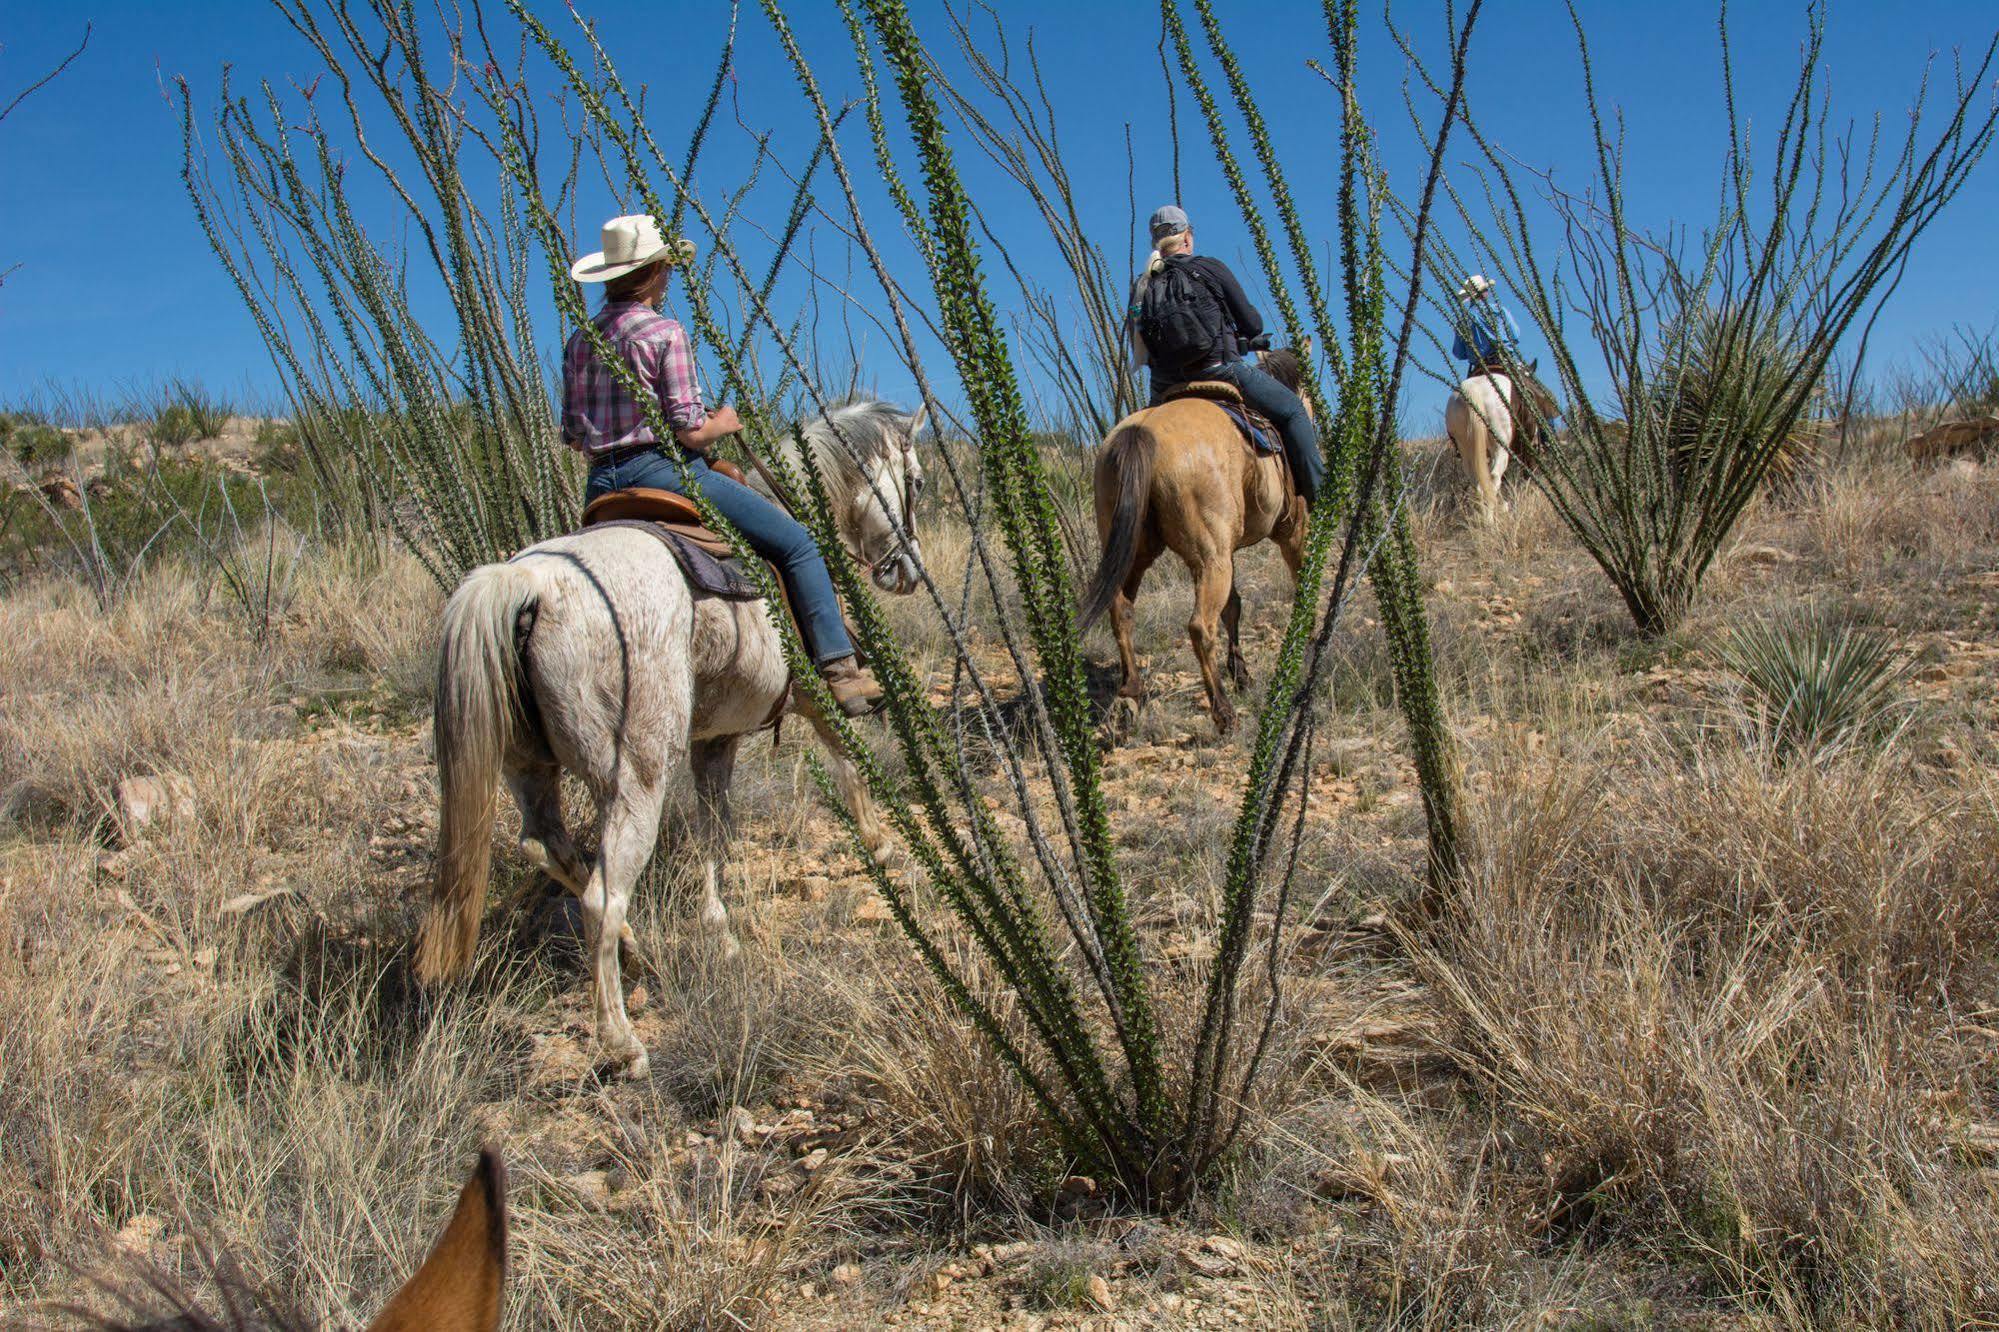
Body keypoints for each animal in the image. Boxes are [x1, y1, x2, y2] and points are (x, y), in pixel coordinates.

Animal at [419, 400, 927, 1072]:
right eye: (917, 481)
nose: (908, 572)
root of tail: (525, 585)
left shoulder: (715, 739)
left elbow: (712, 828)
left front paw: (718, 929)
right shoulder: (813, 697)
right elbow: (848, 762)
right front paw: (884, 845)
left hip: (530, 768)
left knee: (546, 848)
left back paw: (640, 954)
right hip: (637, 776)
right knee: (601, 897)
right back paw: (621, 1040)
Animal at [1455, 368, 1559, 528]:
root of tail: (1472, 391)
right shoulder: (1528, 449)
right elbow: (1529, 474)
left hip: (1466, 450)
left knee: (1478, 482)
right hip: (1501, 446)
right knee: (1494, 477)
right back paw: (1490, 519)